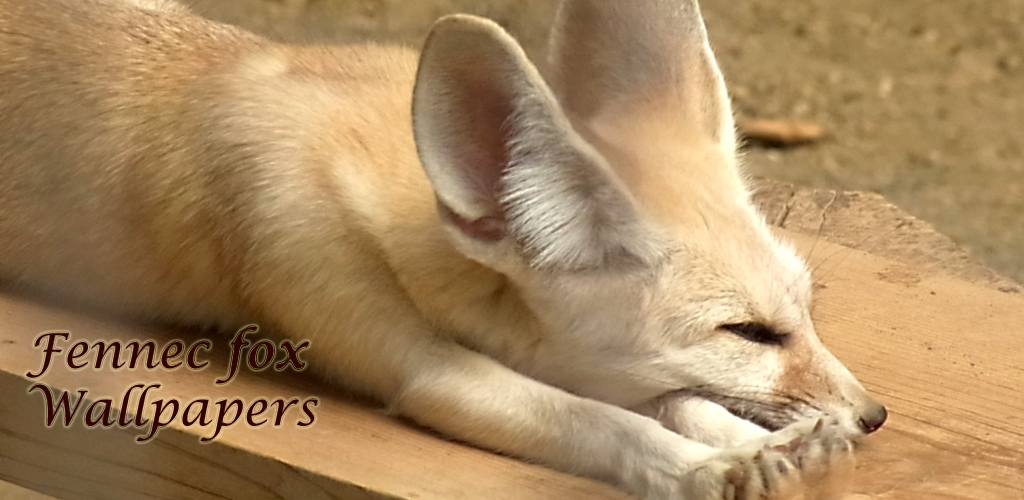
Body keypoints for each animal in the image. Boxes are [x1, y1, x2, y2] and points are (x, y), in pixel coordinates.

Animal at [0, 0, 888, 498]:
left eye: (806, 310)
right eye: (748, 333)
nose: (874, 415)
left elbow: (671, 399)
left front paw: (760, 440)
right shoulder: (415, 362)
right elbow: (602, 422)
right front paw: (708, 468)